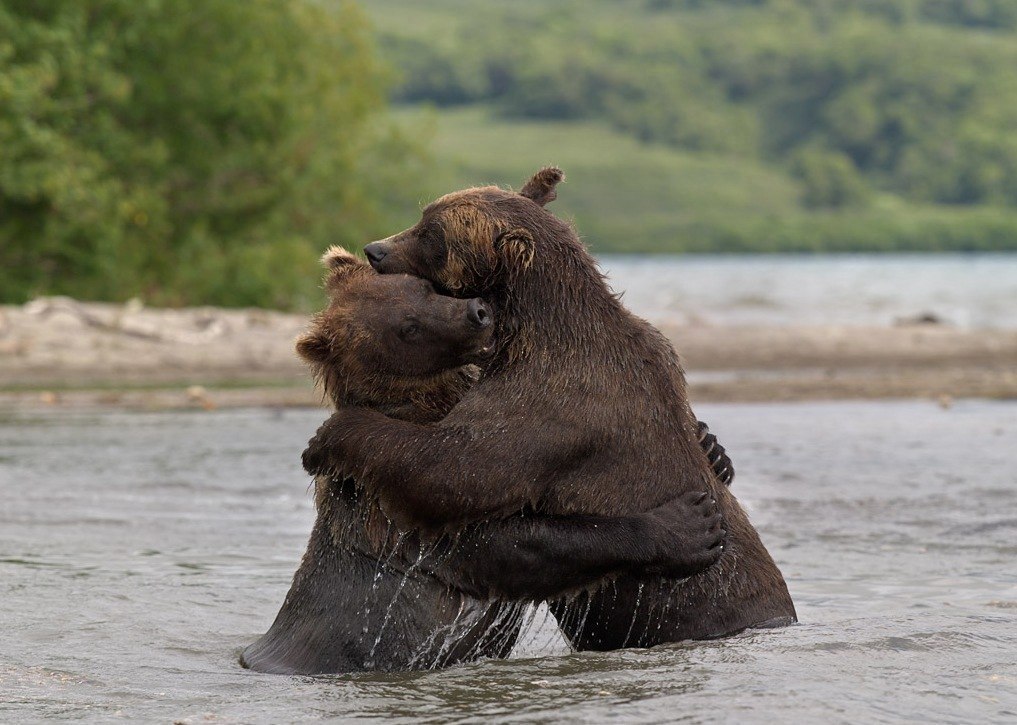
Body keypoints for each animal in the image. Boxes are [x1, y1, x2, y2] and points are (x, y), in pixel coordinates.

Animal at [241, 247, 728, 675]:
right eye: (407, 328)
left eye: (423, 286)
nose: (477, 312)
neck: (428, 402)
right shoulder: (389, 512)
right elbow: (512, 545)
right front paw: (687, 526)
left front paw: (713, 448)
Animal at [302, 168, 796, 650]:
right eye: (424, 216)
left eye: (433, 234)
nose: (375, 250)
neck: (532, 326)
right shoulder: (660, 352)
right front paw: (711, 447)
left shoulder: (550, 400)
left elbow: (456, 469)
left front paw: (326, 440)